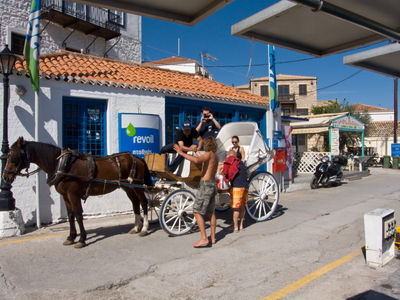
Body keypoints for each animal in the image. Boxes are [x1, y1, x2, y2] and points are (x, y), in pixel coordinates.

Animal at [2, 137, 153, 247]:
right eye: (7, 155)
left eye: (13, 156)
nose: (5, 177)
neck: (62, 165)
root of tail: (137, 157)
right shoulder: (65, 196)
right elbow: (70, 215)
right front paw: (71, 237)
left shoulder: (73, 195)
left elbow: (78, 215)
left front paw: (81, 239)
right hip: (128, 187)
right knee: (135, 203)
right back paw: (136, 227)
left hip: (137, 185)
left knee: (144, 203)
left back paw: (144, 228)